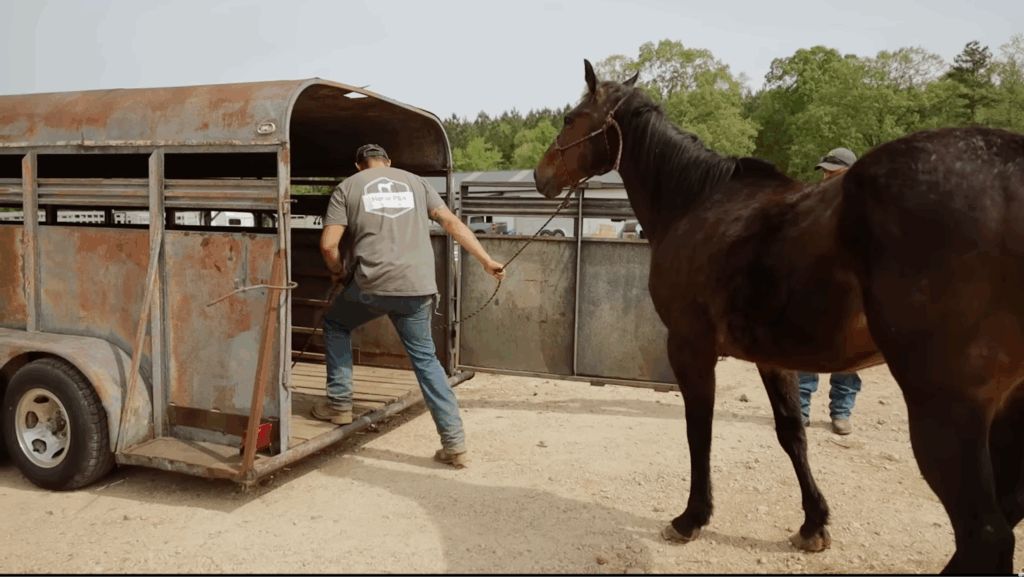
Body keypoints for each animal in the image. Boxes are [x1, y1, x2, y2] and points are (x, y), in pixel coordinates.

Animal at [532, 59, 1024, 573]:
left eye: (569, 118)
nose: (541, 175)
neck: (697, 203)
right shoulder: (773, 356)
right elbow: (792, 432)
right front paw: (813, 524)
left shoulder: (689, 346)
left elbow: (699, 431)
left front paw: (691, 518)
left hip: (946, 407)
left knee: (986, 532)